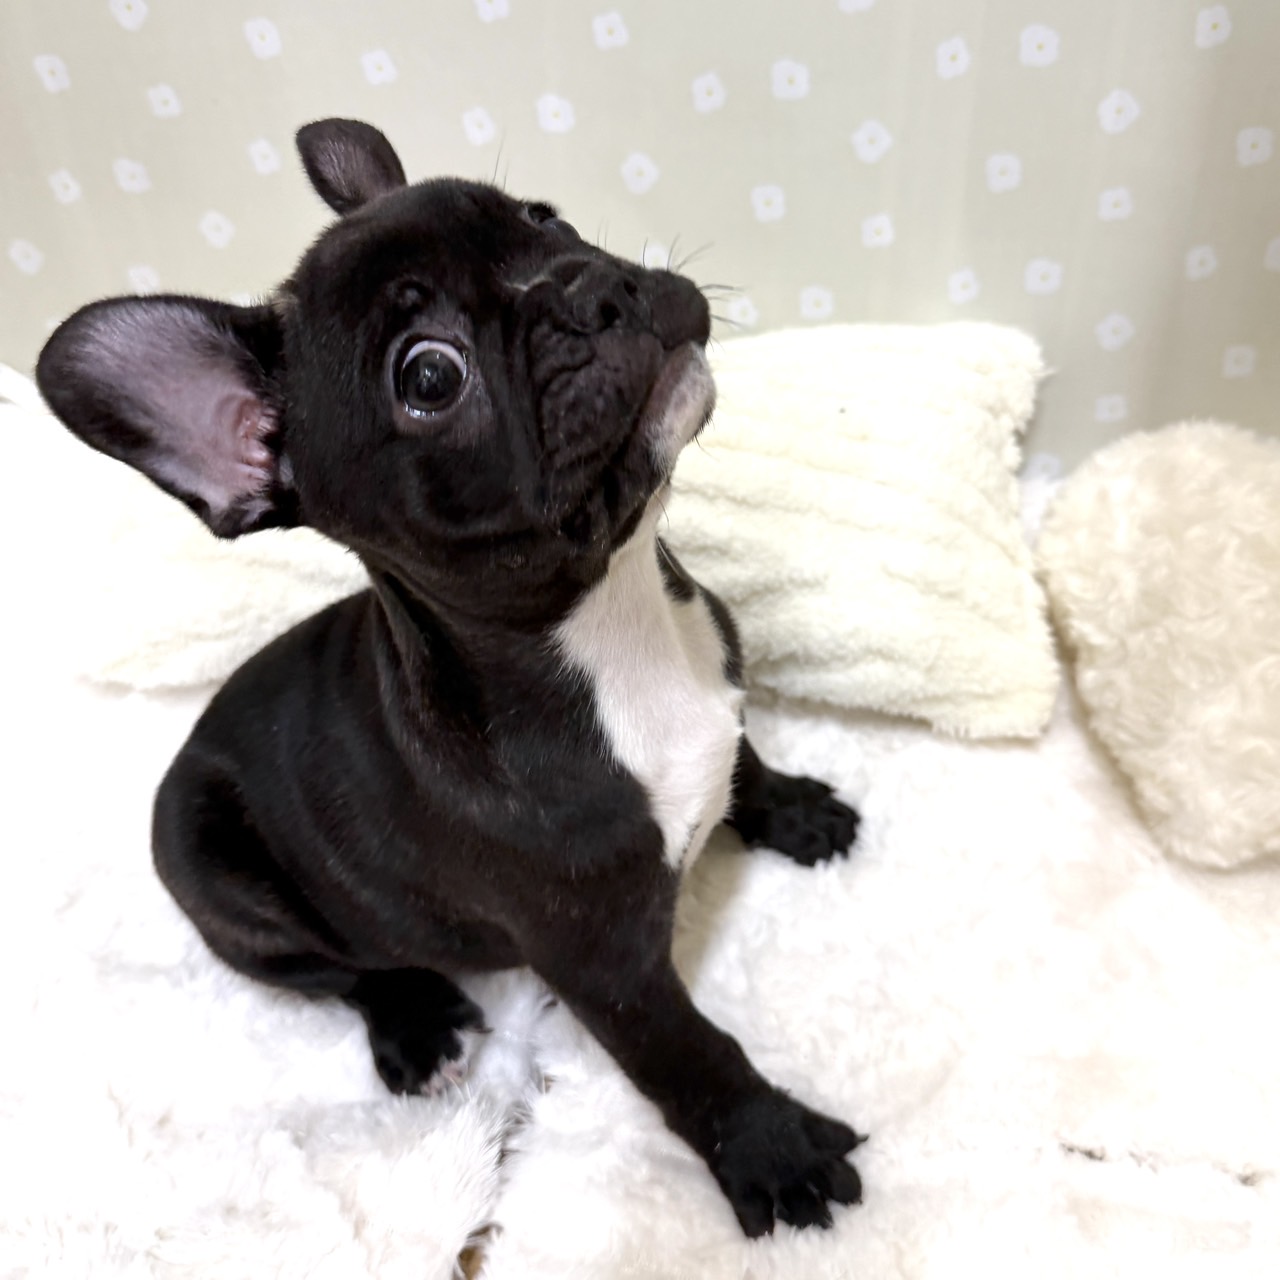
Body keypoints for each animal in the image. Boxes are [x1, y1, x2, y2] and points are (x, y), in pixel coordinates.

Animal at [35, 118, 863, 1237]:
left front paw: (797, 808)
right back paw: (417, 1026)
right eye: (429, 376)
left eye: (544, 218)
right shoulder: (606, 966)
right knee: (341, 969)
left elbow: (746, 756)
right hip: (214, 874)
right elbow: (690, 1056)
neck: (613, 626)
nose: (587, 282)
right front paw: (773, 1151)